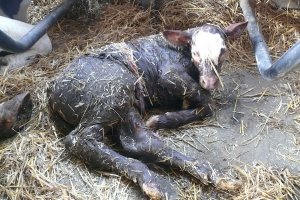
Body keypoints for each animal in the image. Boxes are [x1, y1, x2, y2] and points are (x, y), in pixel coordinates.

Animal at [48, 21, 247, 199]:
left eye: (223, 51)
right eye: (196, 53)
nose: (210, 81)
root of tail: (51, 92)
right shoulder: (168, 75)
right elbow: (207, 102)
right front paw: (170, 115)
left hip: (126, 103)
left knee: (138, 142)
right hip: (112, 92)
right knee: (80, 140)